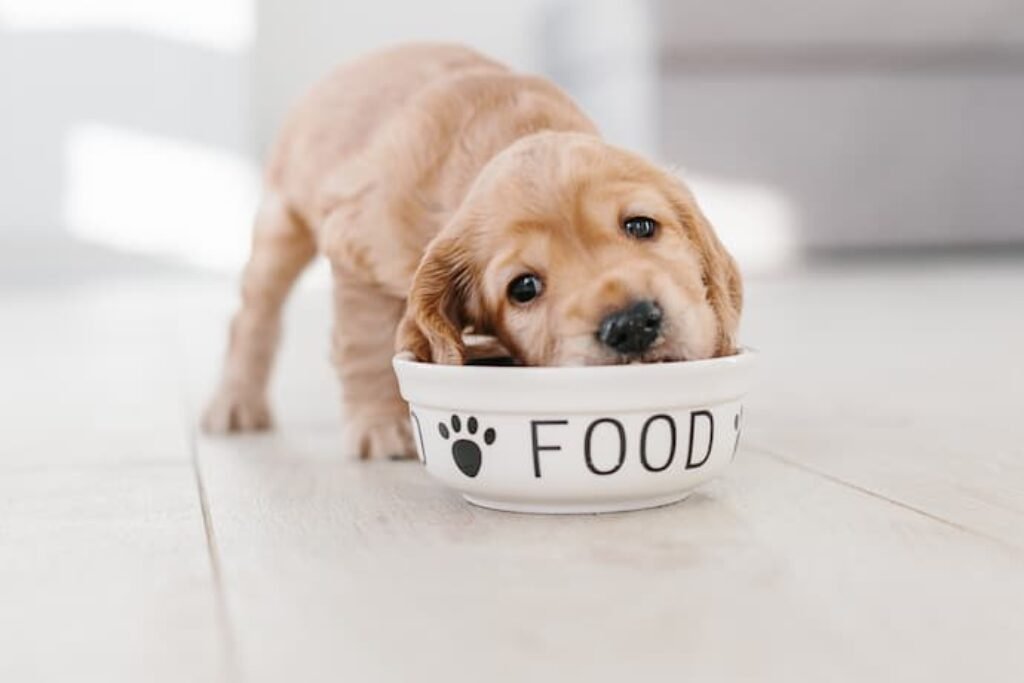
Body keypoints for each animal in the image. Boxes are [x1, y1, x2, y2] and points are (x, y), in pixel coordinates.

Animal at [201, 41, 745, 458]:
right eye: (523, 287)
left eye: (640, 225)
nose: (631, 325)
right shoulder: (356, 251)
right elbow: (366, 343)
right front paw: (380, 426)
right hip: (281, 224)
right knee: (252, 316)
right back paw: (235, 403)